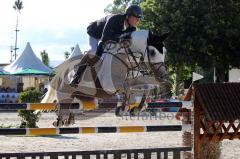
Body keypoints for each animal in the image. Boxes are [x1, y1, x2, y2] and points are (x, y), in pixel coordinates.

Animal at [41, 29, 171, 126]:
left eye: (165, 51)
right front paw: (122, 109)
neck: (124, 58)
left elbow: (146, 87)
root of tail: (61, 73)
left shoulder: (134, 80)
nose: (163, 75)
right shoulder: (110, 86)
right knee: (61, 108)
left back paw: (69, 120)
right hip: (65, 95)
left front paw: (138, 108)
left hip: (80, 96)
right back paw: (59, 121)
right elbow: (127, 88)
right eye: (153, 52)